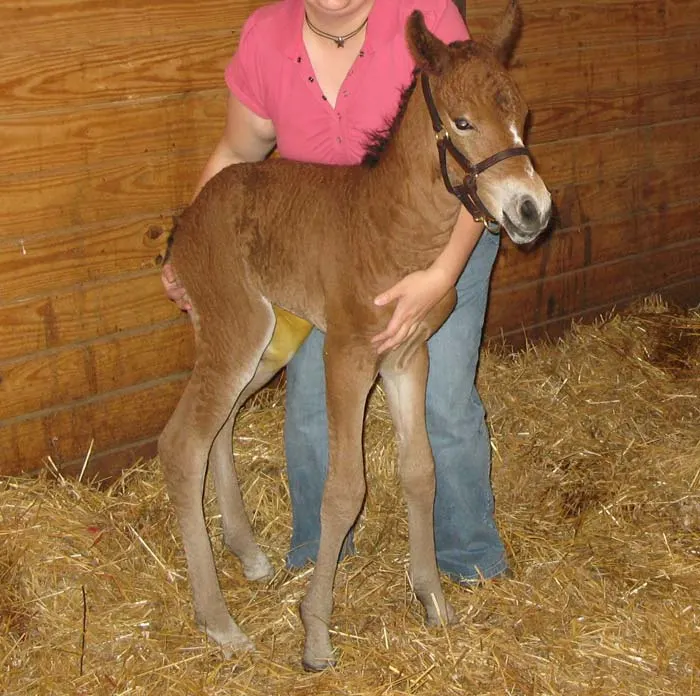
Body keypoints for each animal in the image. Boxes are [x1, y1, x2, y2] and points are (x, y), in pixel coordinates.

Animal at [160, 2, 552, 672]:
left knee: (219, 426)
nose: (534, 210)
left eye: (522, 115)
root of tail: (188, 217)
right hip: (239, 328)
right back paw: (219, 621)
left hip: (267, 342)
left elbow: (421, 470)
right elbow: (344, 489)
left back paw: (249, 553)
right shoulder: (347, 354)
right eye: (464, 122)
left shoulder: (408, 355)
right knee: (185, 443)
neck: (390, 225)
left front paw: (434, 601)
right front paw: (316, 634)